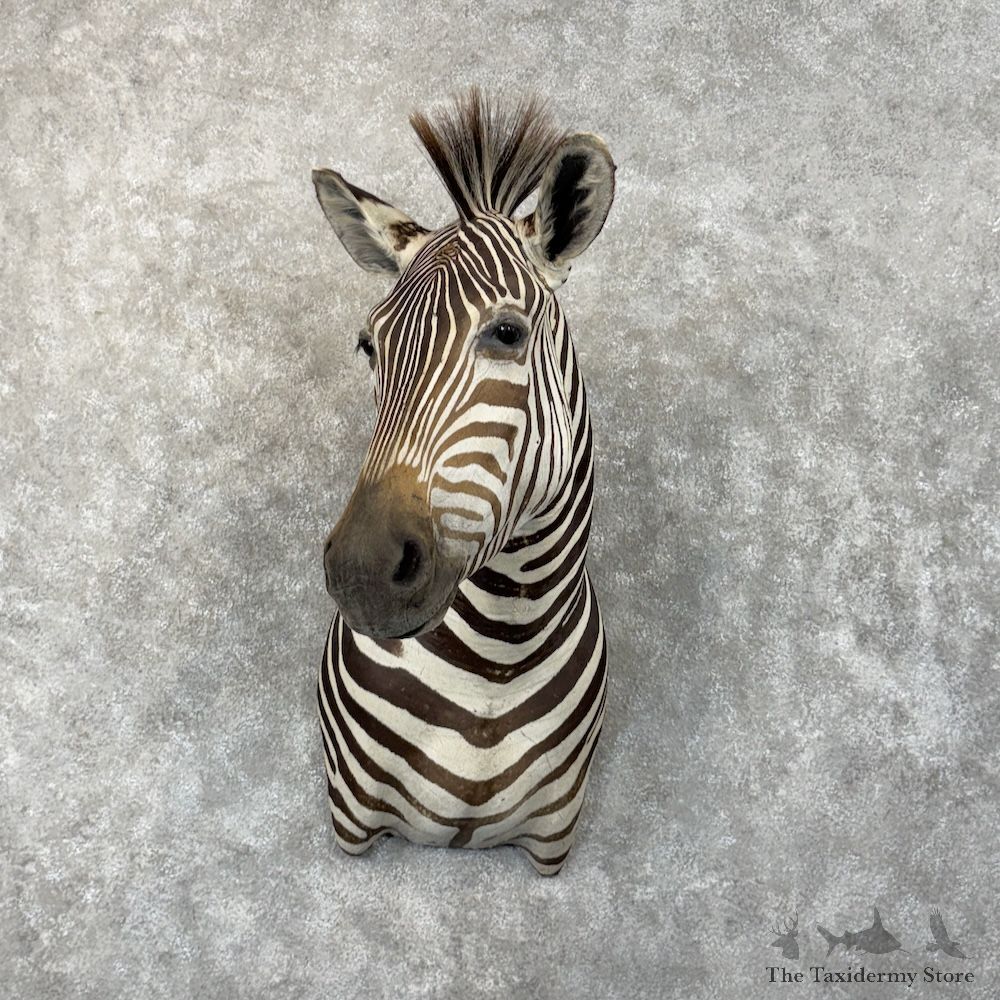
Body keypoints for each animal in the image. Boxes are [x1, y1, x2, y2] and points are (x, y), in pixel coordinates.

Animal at [312, 89, 615, 875]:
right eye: (369, 347)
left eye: (507, 334)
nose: (361, 572)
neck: (493, 669)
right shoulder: (351, 822)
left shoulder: (554, 838)